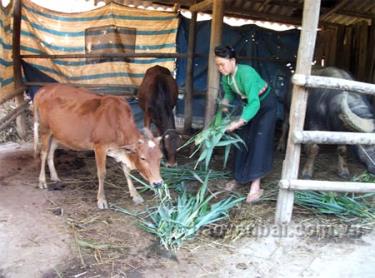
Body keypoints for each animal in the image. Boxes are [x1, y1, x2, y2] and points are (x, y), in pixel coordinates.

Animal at [34, 84, 164, 208]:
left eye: (160, 157)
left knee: (51, 152)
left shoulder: (122, 150)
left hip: (57, 133)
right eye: (143, 158)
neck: (116, 122)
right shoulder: (100, 147)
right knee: (43, 153)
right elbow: (102, 173)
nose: (158, 183)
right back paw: (42, 181)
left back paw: (54, 177)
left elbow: (127, 171)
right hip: (45, 129)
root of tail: (44, 89)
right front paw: (101, 200)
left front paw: (135, 196)